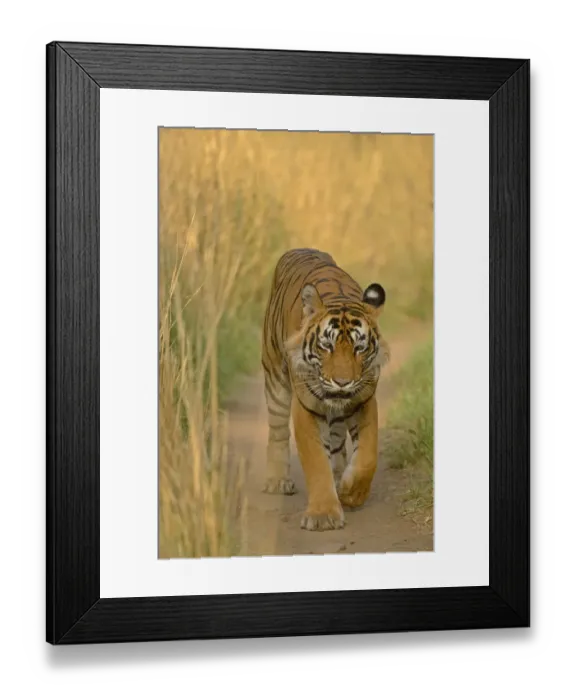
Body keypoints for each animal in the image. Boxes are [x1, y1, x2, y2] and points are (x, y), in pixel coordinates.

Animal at [261, 248, 390, 531]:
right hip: (274, 375)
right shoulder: (305, 406)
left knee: (338, 443)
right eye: (326, 346)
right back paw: (277, 481)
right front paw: (322, 515)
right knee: (277, 430)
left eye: (359, 348)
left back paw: (340, 476)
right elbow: (316, 460)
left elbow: (367, 456)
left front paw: (351, 492)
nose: (342, 382)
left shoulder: (364, 400)